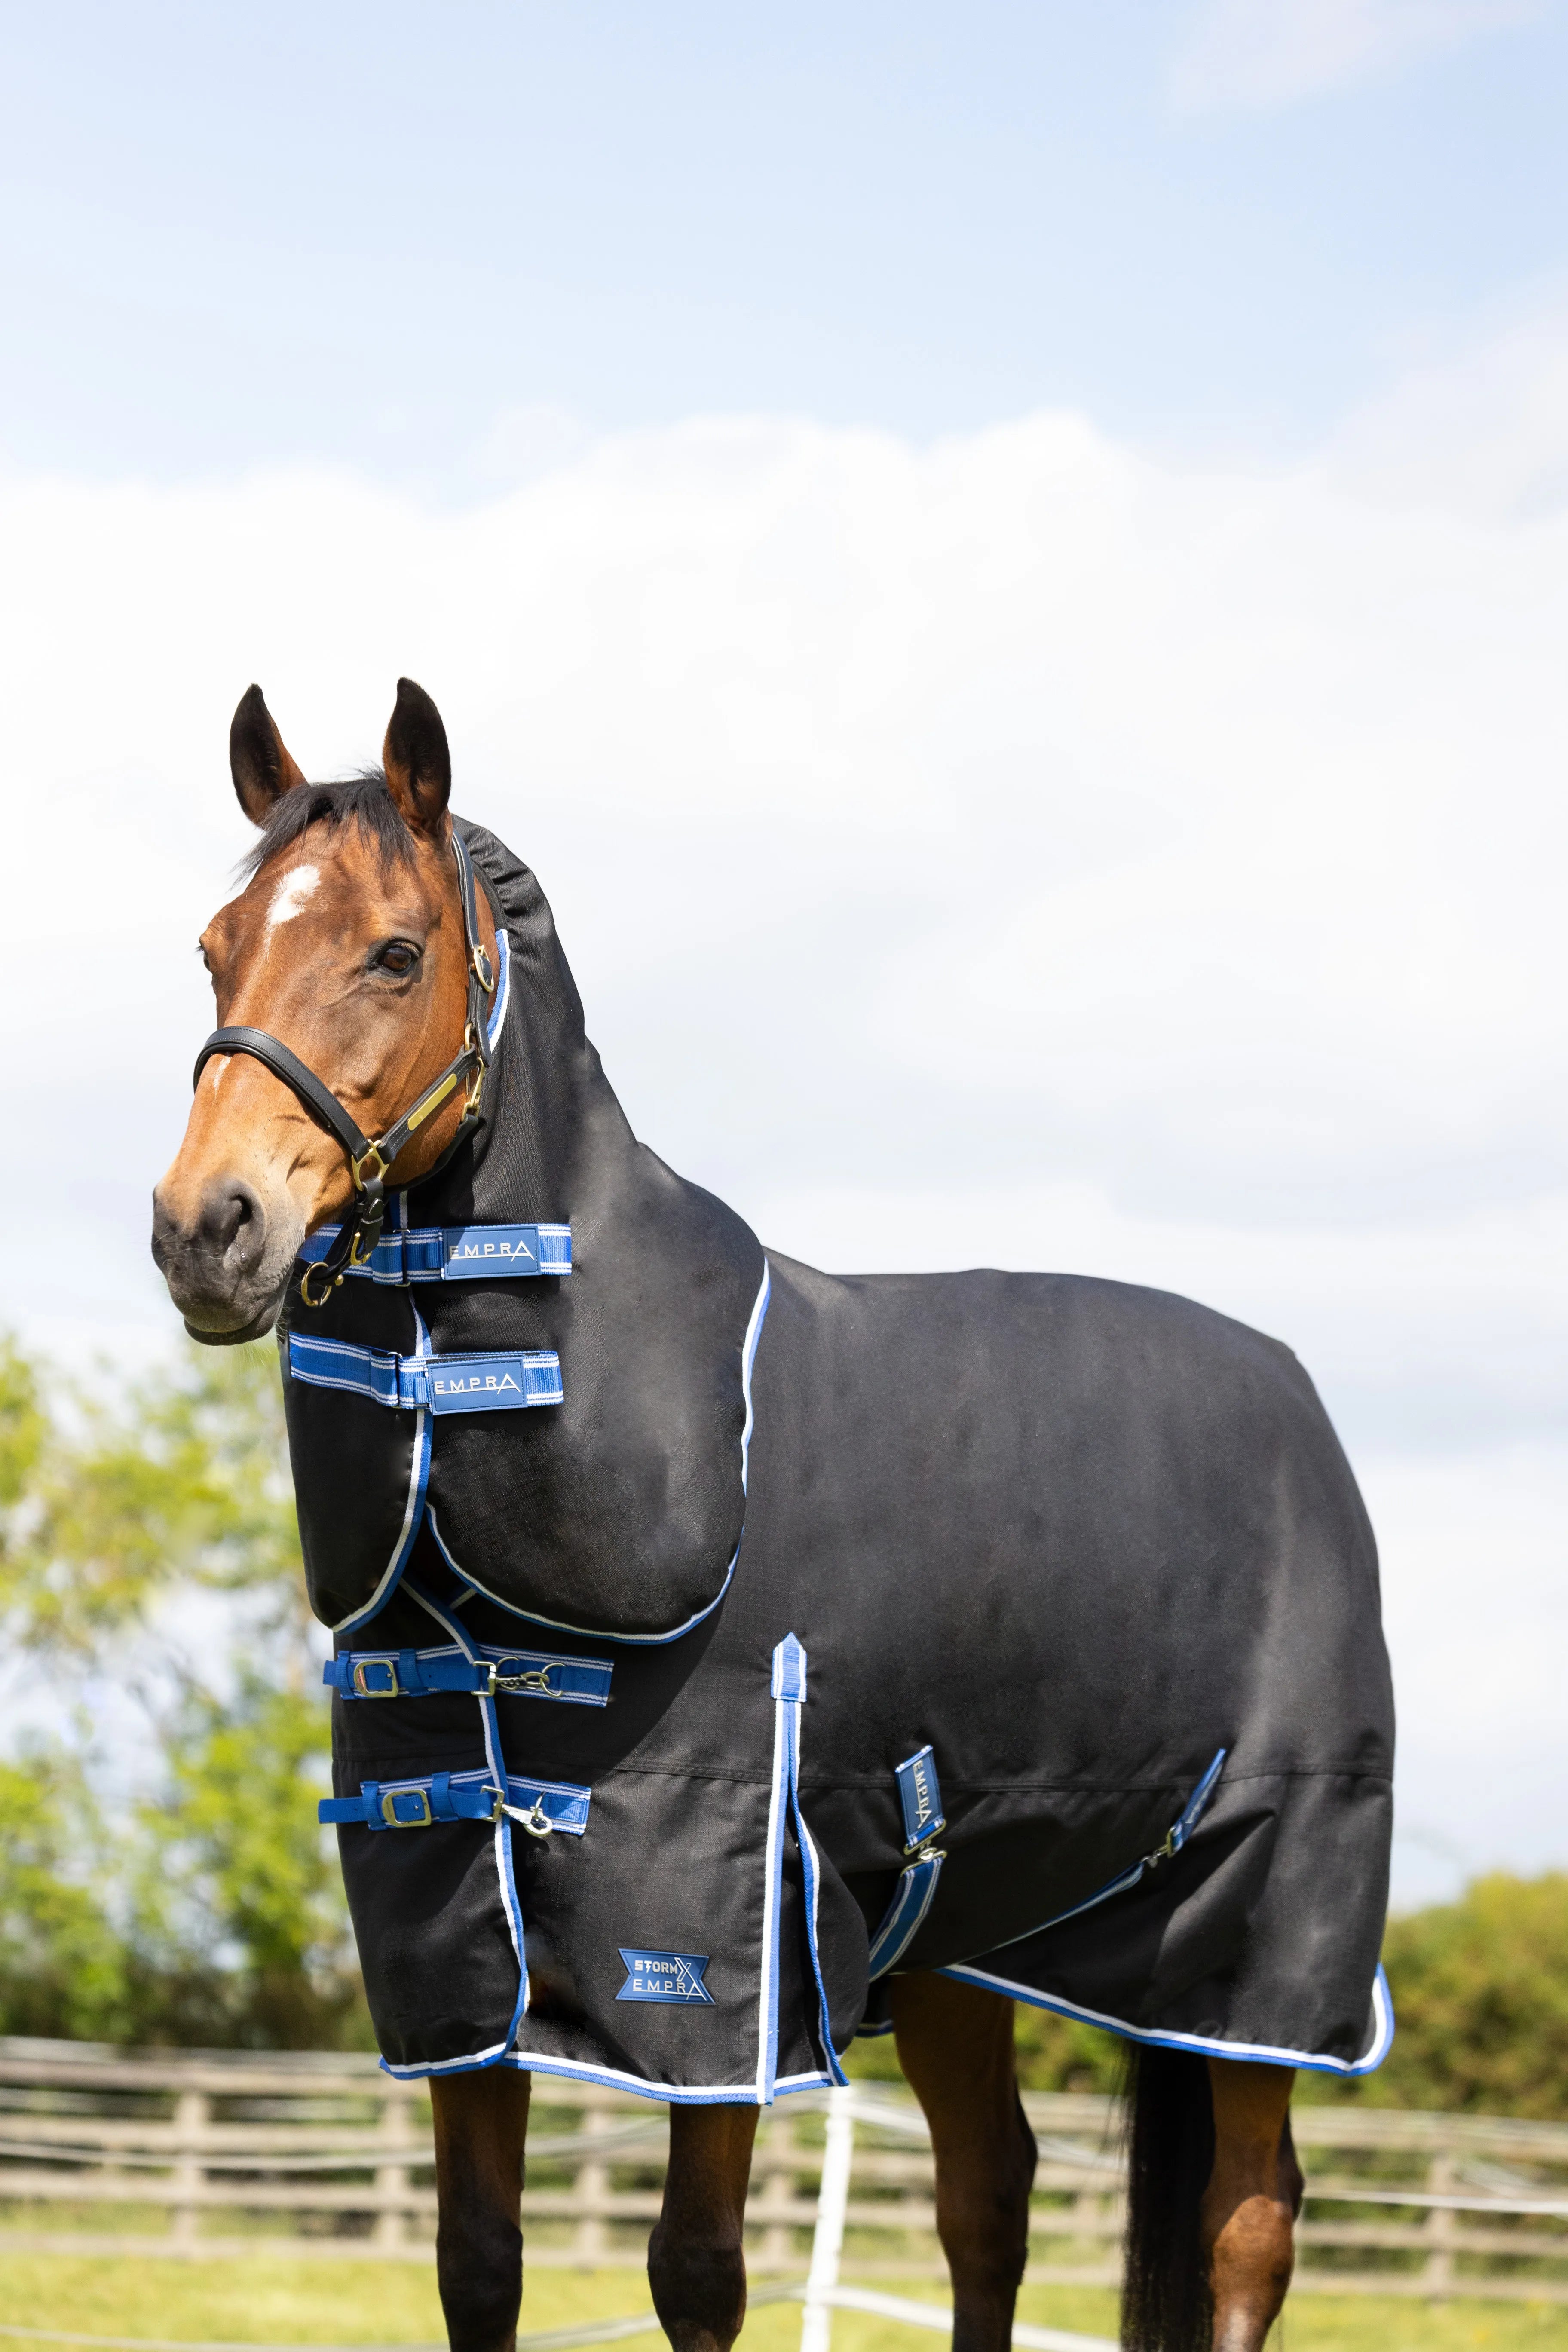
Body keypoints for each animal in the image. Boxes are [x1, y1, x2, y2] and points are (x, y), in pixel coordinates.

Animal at [152, 679, 1393, 2352]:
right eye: (216, 945)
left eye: (395, 952)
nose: (205, 1229)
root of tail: (1298, 1403)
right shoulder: (457, 1948)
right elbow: (477, 2263)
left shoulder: (716, 1929)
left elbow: (695, 2272)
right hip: (963, 1949)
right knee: (988, 2198)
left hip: (1258, 1939)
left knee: (1247, 2230)